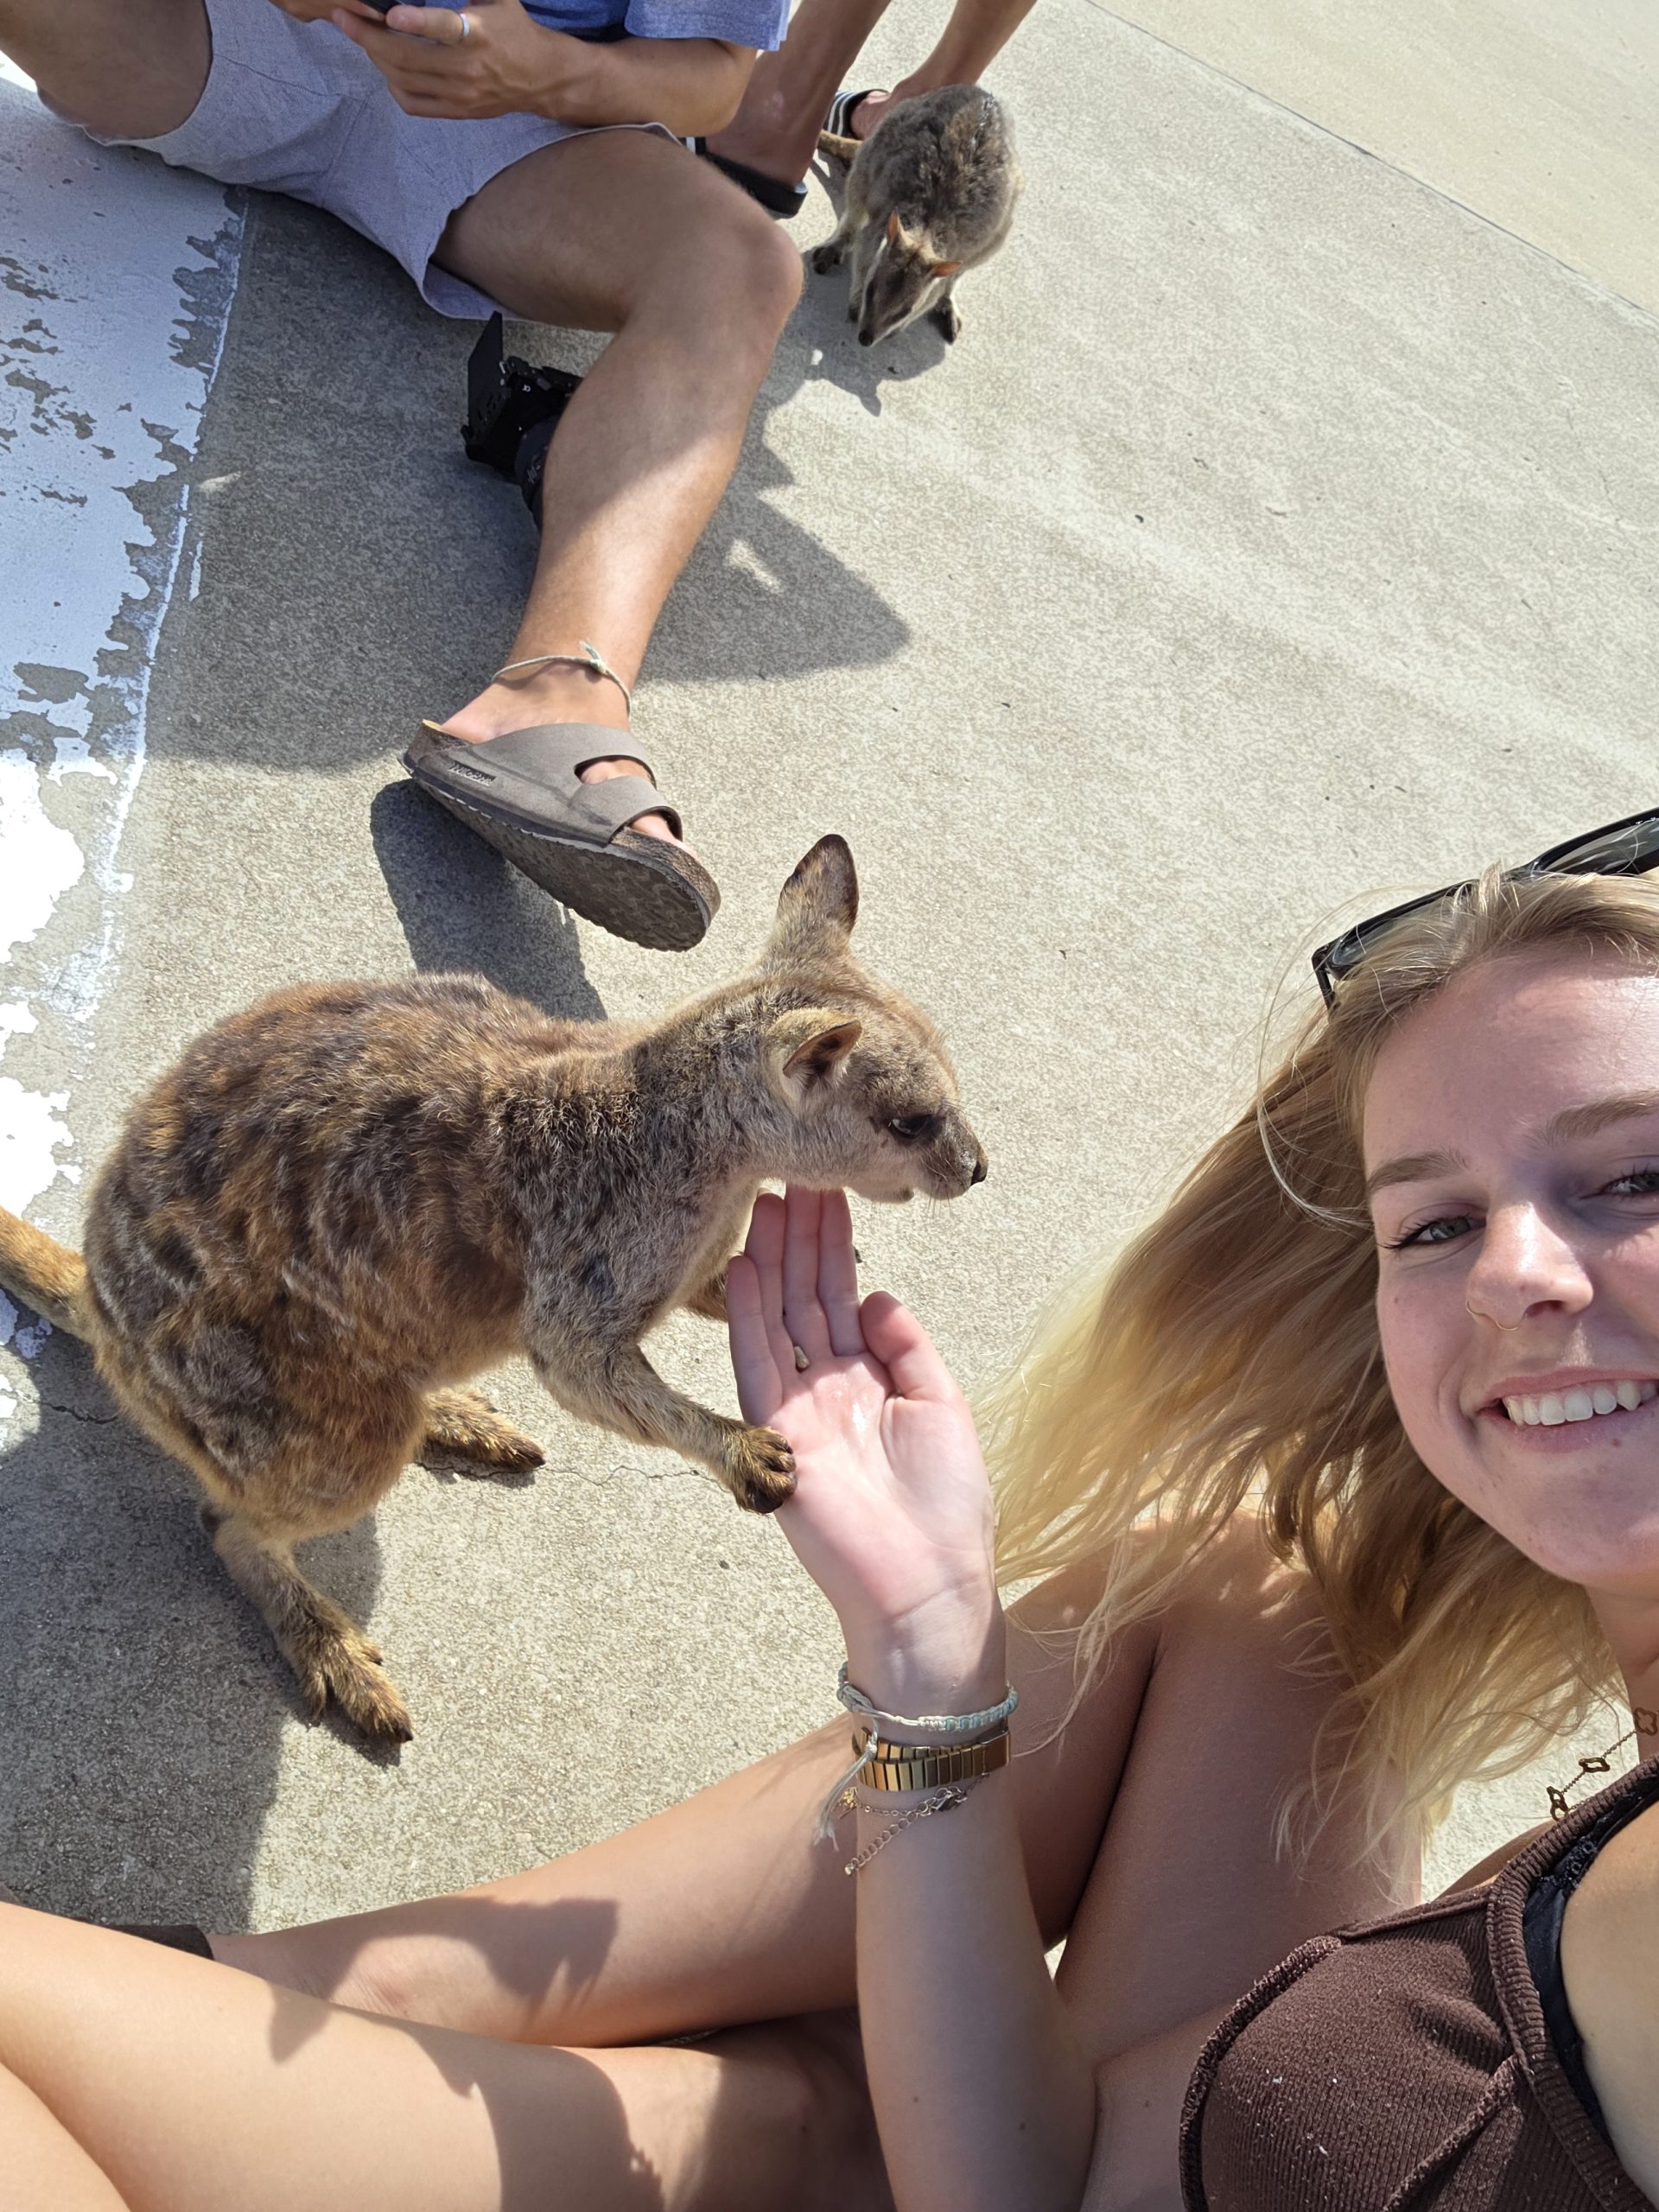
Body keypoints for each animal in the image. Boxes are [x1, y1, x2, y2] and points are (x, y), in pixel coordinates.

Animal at [0, 838, 985, 1742]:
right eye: (911, 1122)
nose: (979, 1170)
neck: (692, 1138)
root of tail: (101, 1300)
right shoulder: (584, 1264)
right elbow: (582, 1371)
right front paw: (745, 1452)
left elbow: (713, 1288)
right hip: (270, 1392)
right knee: (233, 1520)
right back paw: (332, 1646)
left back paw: (457, 1419)